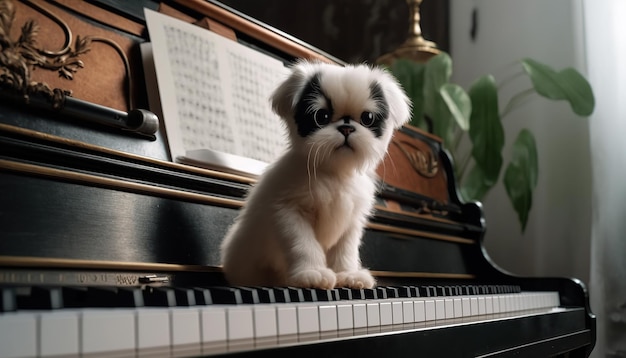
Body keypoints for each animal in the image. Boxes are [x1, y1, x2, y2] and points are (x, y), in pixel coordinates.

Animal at [219, 60, 410, 290]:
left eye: (367, 118)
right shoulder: (291, 213)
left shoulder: (351, 223)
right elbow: (304, 244)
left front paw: (348, 275)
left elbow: (345, 251)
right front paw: (312, 274)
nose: (346, 127)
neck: (335, 173)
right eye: (321, 116)